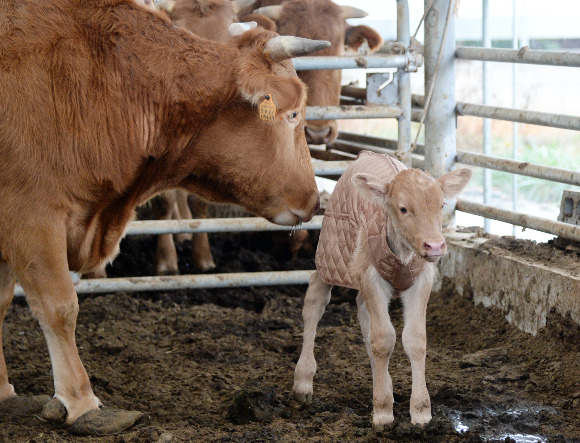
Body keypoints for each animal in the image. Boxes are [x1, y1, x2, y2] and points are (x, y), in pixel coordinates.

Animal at [0, 0, 326, 438]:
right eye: (292, 114)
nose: (314, 199)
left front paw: (3, 392)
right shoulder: (30, 216)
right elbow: (59, 308)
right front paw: (82, 404)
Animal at [294, 151, 472, 428]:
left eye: (442, 205)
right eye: (403, 208)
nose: (434, 246)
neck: (404, 253)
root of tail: (367, 154)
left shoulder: (421, 281)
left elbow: (414, 340)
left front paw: (421, 411)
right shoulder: (372, 279)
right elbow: (383, 339)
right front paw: (383, 412)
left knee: (363, 313)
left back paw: (384, 383)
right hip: (330, 253)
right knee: (315, 300)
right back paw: (303, 381)